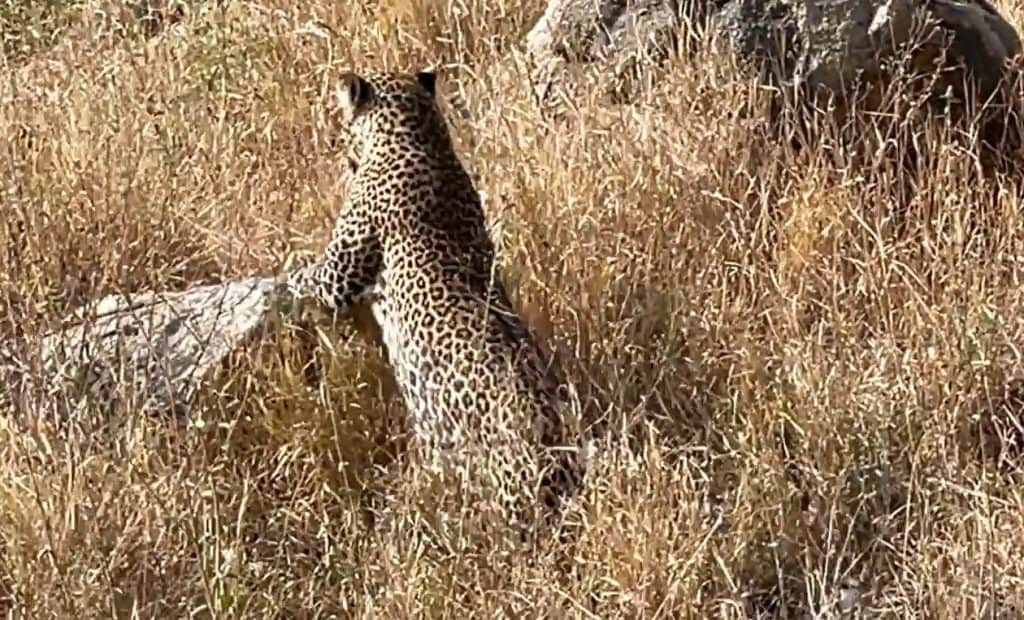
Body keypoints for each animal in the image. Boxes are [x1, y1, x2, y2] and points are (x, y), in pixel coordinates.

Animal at [286, 68, 582, 530]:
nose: (339, 147)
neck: (417, 135)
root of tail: (554, 447)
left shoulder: (344, 267)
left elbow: (317, 278)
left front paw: (288, 271)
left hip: (497, 486)